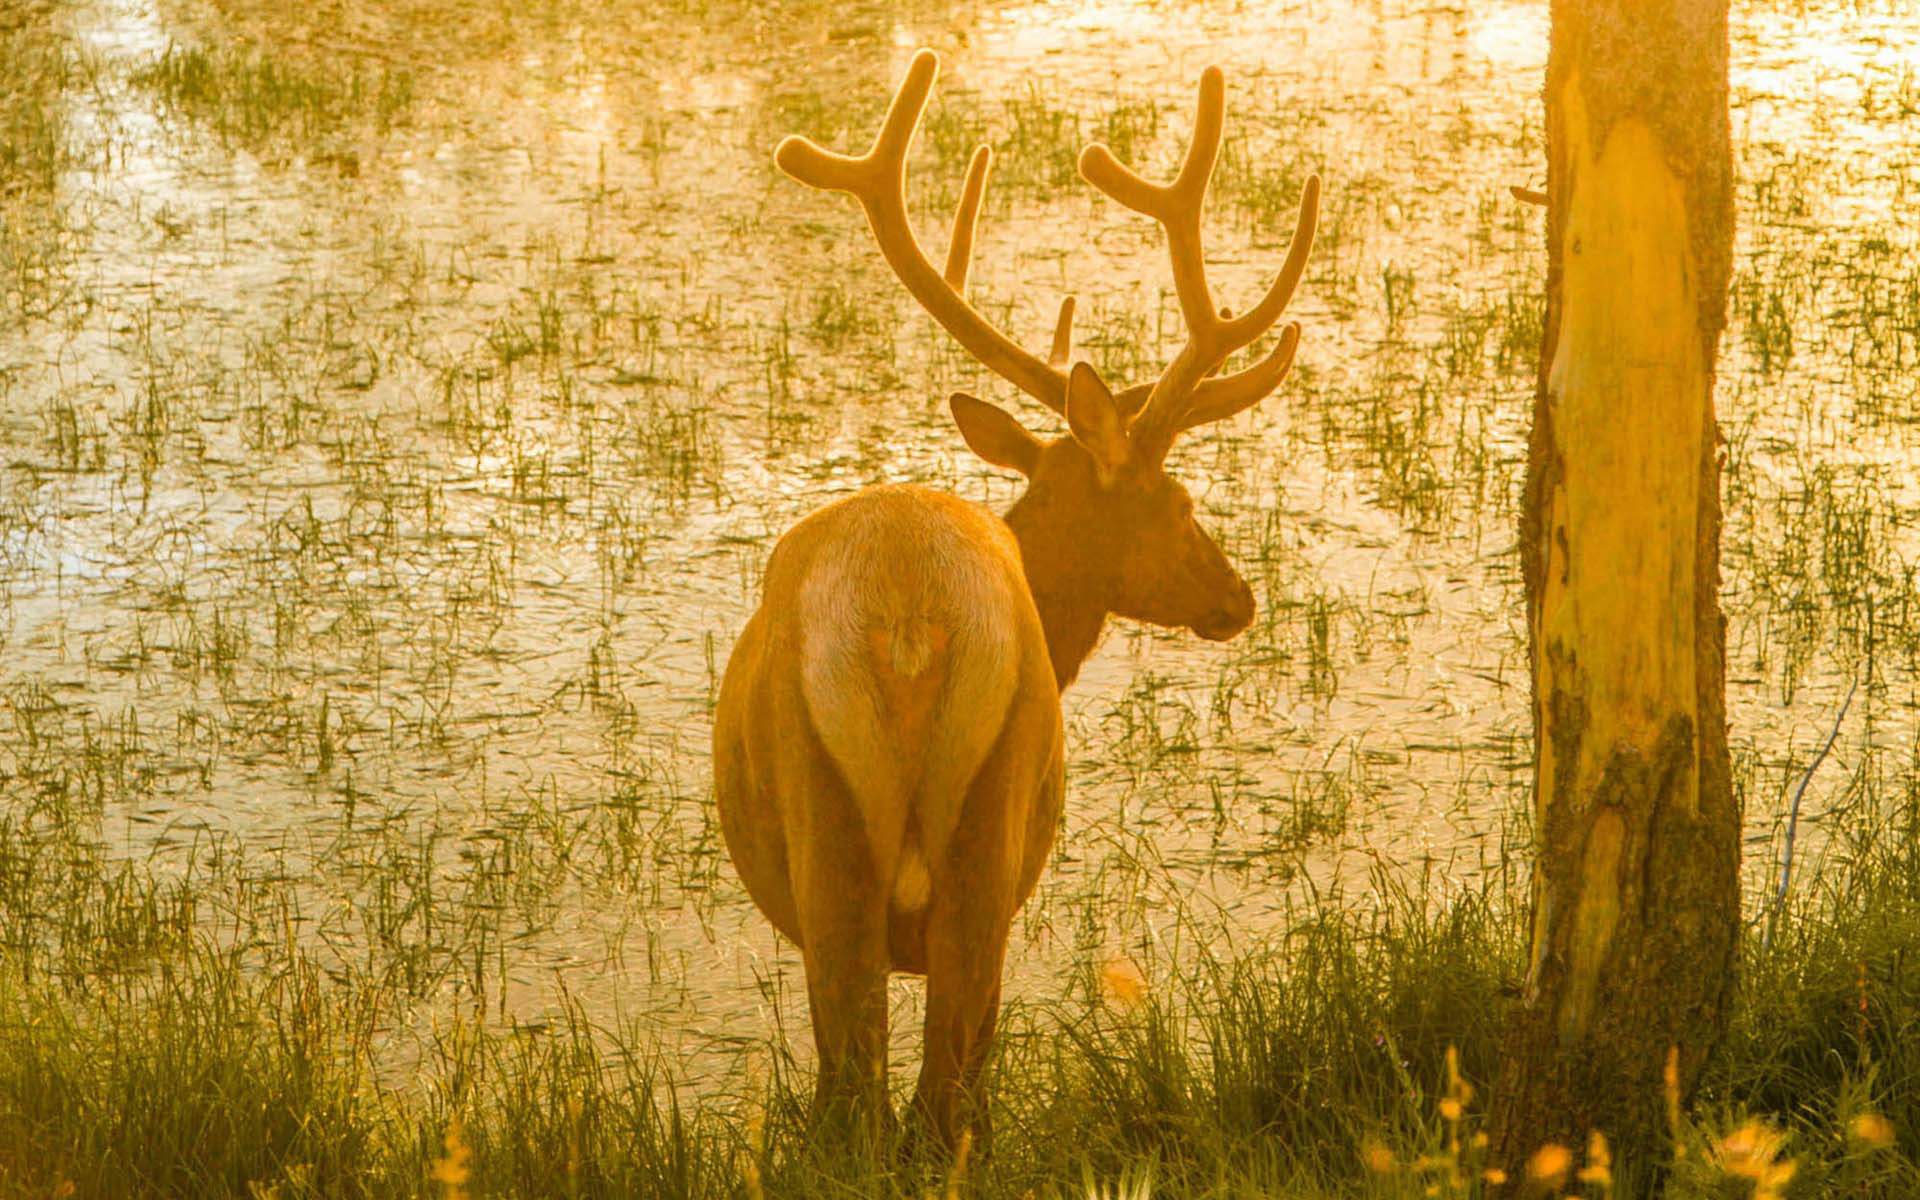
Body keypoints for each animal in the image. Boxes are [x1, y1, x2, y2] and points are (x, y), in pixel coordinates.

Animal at [712, 48, 1318, 1152]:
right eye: (1178, 501)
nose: (1238, 596)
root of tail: (909, 619)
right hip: (968, 833)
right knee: (928, 1094)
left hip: (858, 857)